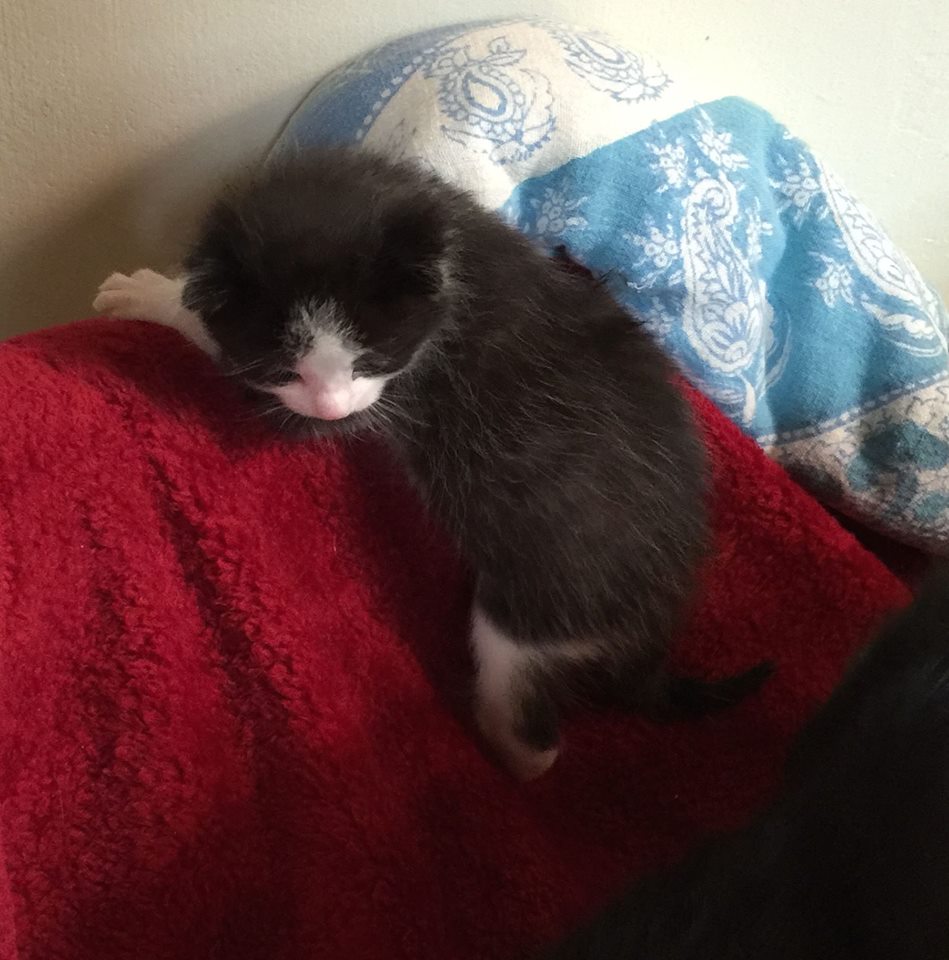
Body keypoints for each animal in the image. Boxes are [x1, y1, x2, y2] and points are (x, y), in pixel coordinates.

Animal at [92, 148, 768, 780]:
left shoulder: (386, 396)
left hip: (539, 610)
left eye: (370, 360)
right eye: (284, 367)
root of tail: (659, 620)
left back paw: (496, 745)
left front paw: (149, 293)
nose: (332, 405)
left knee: (533, 729)